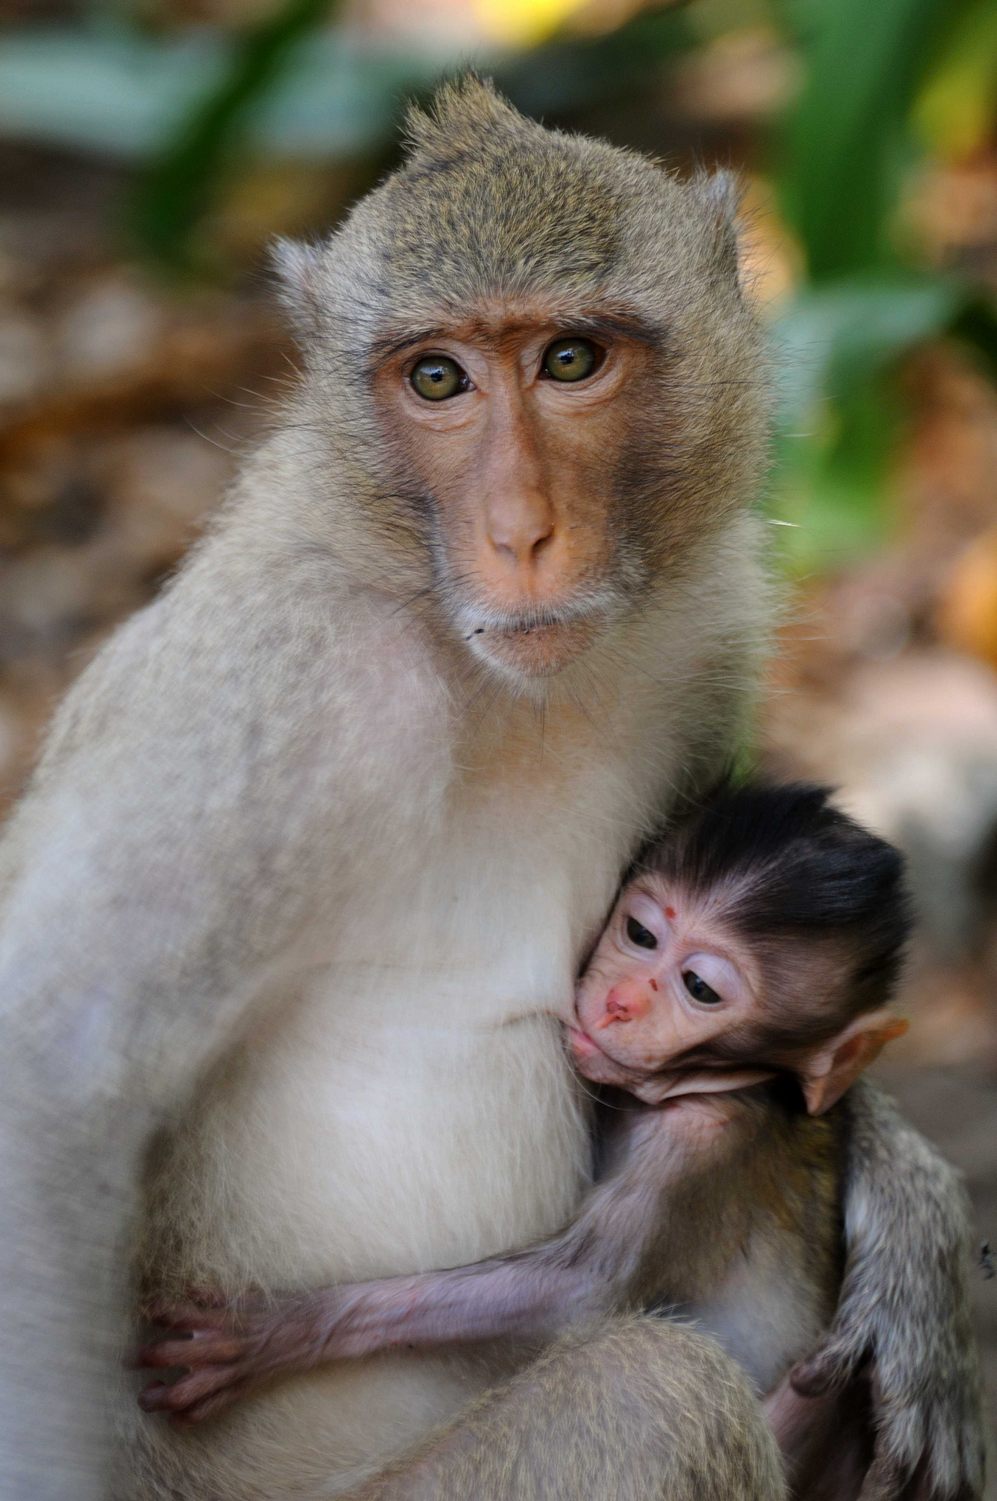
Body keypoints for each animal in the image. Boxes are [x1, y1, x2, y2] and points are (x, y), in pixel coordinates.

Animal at [138, 786, 912, 1488]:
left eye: (699, 987)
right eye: (641, 935)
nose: (619, 1002)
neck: (708, 1083)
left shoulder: (703, 1141)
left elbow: (577, 1295)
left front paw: (282, 1331)